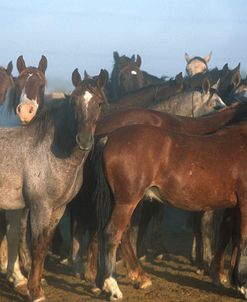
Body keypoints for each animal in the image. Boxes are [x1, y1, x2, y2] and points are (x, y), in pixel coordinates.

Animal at [0, 68, 107, 302]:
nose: (84, 140)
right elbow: (38, 246)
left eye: (100, 103)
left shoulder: (59, 208)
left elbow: (45, 245)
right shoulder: (41, 207)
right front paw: (35, 292)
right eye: (74, 102)